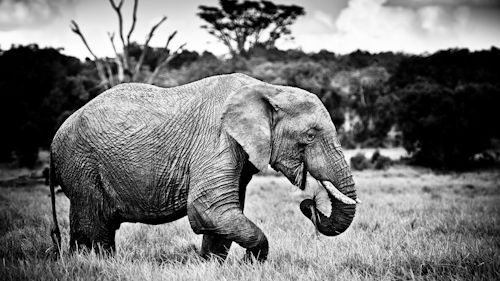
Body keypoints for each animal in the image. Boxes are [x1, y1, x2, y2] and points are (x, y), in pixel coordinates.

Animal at [48, 72, 358, 260]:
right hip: (81, 165)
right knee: (94, 227)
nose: (309, 203)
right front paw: (251, 263)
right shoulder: (217, 141)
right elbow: (208, 209)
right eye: (310, 136)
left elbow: (223, 215)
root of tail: (55, 138)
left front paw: (213, 266)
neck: (269, 89)